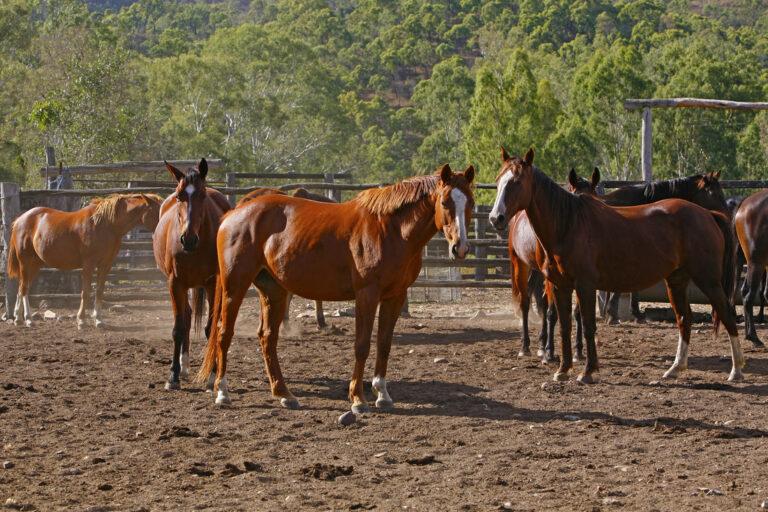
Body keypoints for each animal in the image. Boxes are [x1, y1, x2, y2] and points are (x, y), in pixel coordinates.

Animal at [8, 193, 162, 328]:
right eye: (158, 211)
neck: (106, 224)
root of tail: (20, 220)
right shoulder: (89, 264)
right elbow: (86, 292)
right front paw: (81, 320)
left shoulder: (106, 265)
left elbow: (99, 291)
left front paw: (98, 320)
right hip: (25, 261)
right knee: (24, 289)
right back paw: (28, 319)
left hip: (35, 264)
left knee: (22, 287)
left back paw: (17, 319)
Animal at [153, 158, 231, 391]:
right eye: (180, 196)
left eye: (202, 196)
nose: (187, 239)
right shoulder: (175, 283)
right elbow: (179, 328)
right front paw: (173, 376)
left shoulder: (213, 284)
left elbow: (211, 328)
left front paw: (213, 376)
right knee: (186, 317)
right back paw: (184, 366)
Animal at [509, 167, 599, 363]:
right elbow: (553, 312)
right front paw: (550, 353)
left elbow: (578, 313)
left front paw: (578, 351)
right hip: (520, 264)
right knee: (526, 301)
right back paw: (526, 346)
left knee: (541, 301)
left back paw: (541, 345)